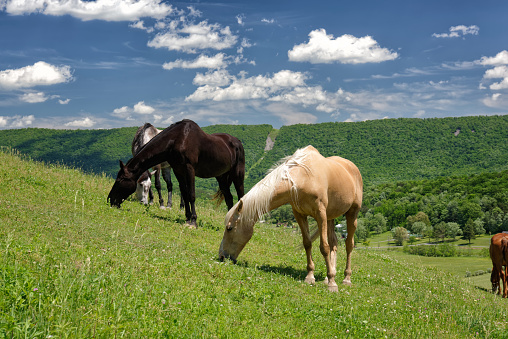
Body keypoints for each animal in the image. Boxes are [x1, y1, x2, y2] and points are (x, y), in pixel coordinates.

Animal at [106, 118, 245, 227]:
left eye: (120, 180)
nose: (110, 200)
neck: (178, 139)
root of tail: (237, 141)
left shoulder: (189, 169)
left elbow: (191, 195)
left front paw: (193, 221)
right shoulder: (178, 170)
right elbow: (184, 193)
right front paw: (187, 218)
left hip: (238, 174)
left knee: (241, 196)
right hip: (221, 177)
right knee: (229, 198)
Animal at [218, 146, 362, 292]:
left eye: (229, 228)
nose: (222, 256)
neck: (304, 177)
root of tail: (352, 166)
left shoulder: (320, 214)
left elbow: (324, 247)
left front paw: (332, 284)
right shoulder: (300, 215)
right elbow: (307, 243)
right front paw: (311, 277)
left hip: (352, 213)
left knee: (349, 244)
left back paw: (346, 279)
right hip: (330, 217)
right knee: (334, 243)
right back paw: (328, 277)